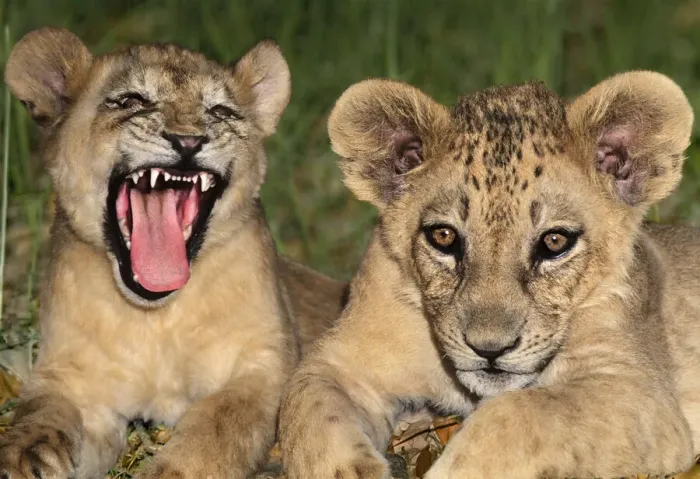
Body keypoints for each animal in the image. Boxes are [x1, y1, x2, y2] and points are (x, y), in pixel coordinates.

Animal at [0, 27, 346, 479]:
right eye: (132, 100)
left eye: (220, 111)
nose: (188, 140)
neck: (156, 322)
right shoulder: (71, 376)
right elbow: (40, 410)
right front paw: (28, 457)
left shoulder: (263, 364)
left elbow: (216, 423)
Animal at [278, 71, 700, 478]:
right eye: (444, 236)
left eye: (554, 242)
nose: (490, 349)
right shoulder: (342, 362)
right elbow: (310, 414)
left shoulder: (642, 395)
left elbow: (517, 413)